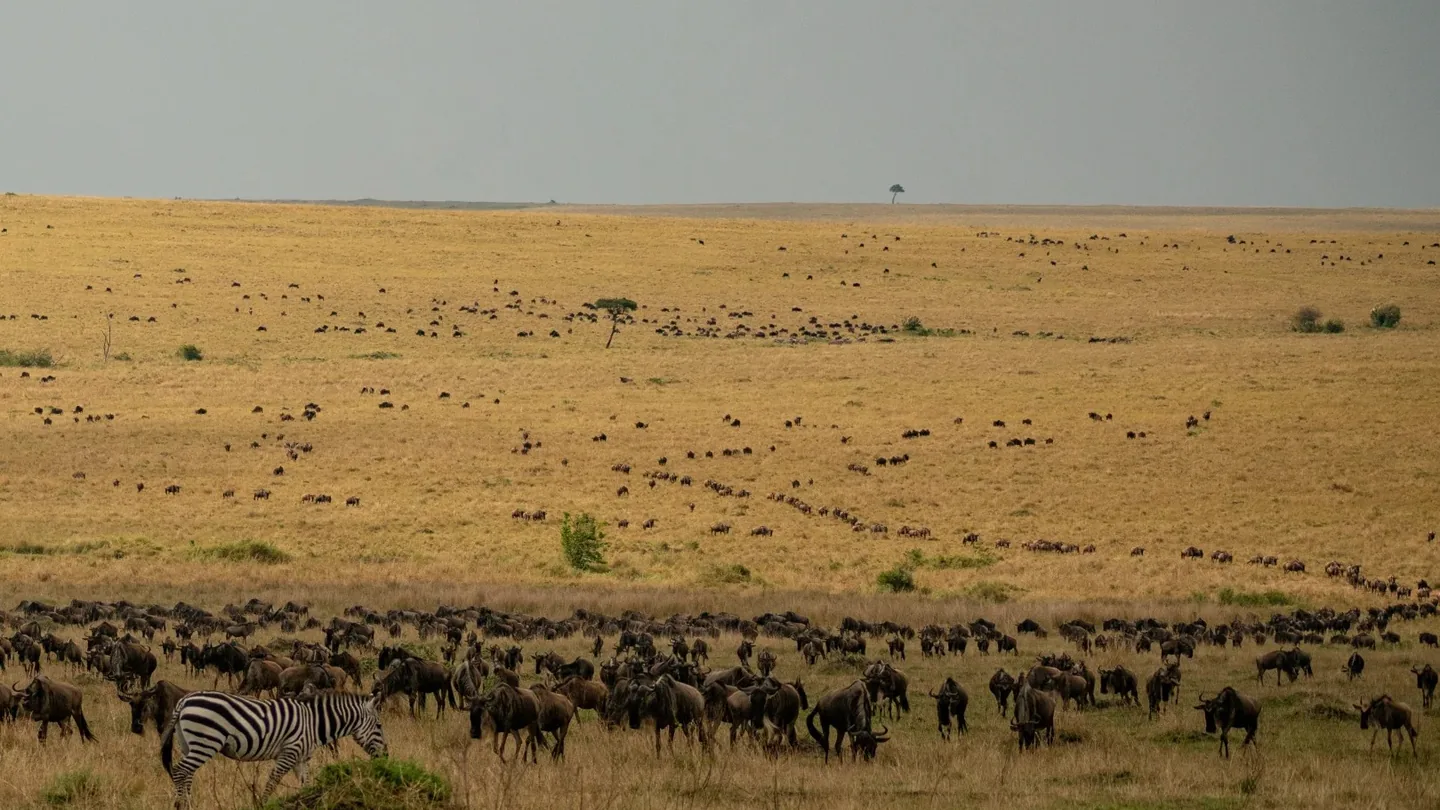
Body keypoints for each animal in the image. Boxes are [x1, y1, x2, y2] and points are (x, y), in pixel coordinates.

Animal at [160, 689, 387, 808]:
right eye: (379, 726)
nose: (386, 756)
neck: (314, 723)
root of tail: (184, 700)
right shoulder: (290, 752)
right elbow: (273, 780)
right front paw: (261, 804)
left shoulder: (301, 758)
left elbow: (306, 783)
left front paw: (305, 802)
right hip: (206, 741)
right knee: (180, 770)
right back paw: (180, 804)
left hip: (189, 743)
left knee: (187, 773)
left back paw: (189, 803)